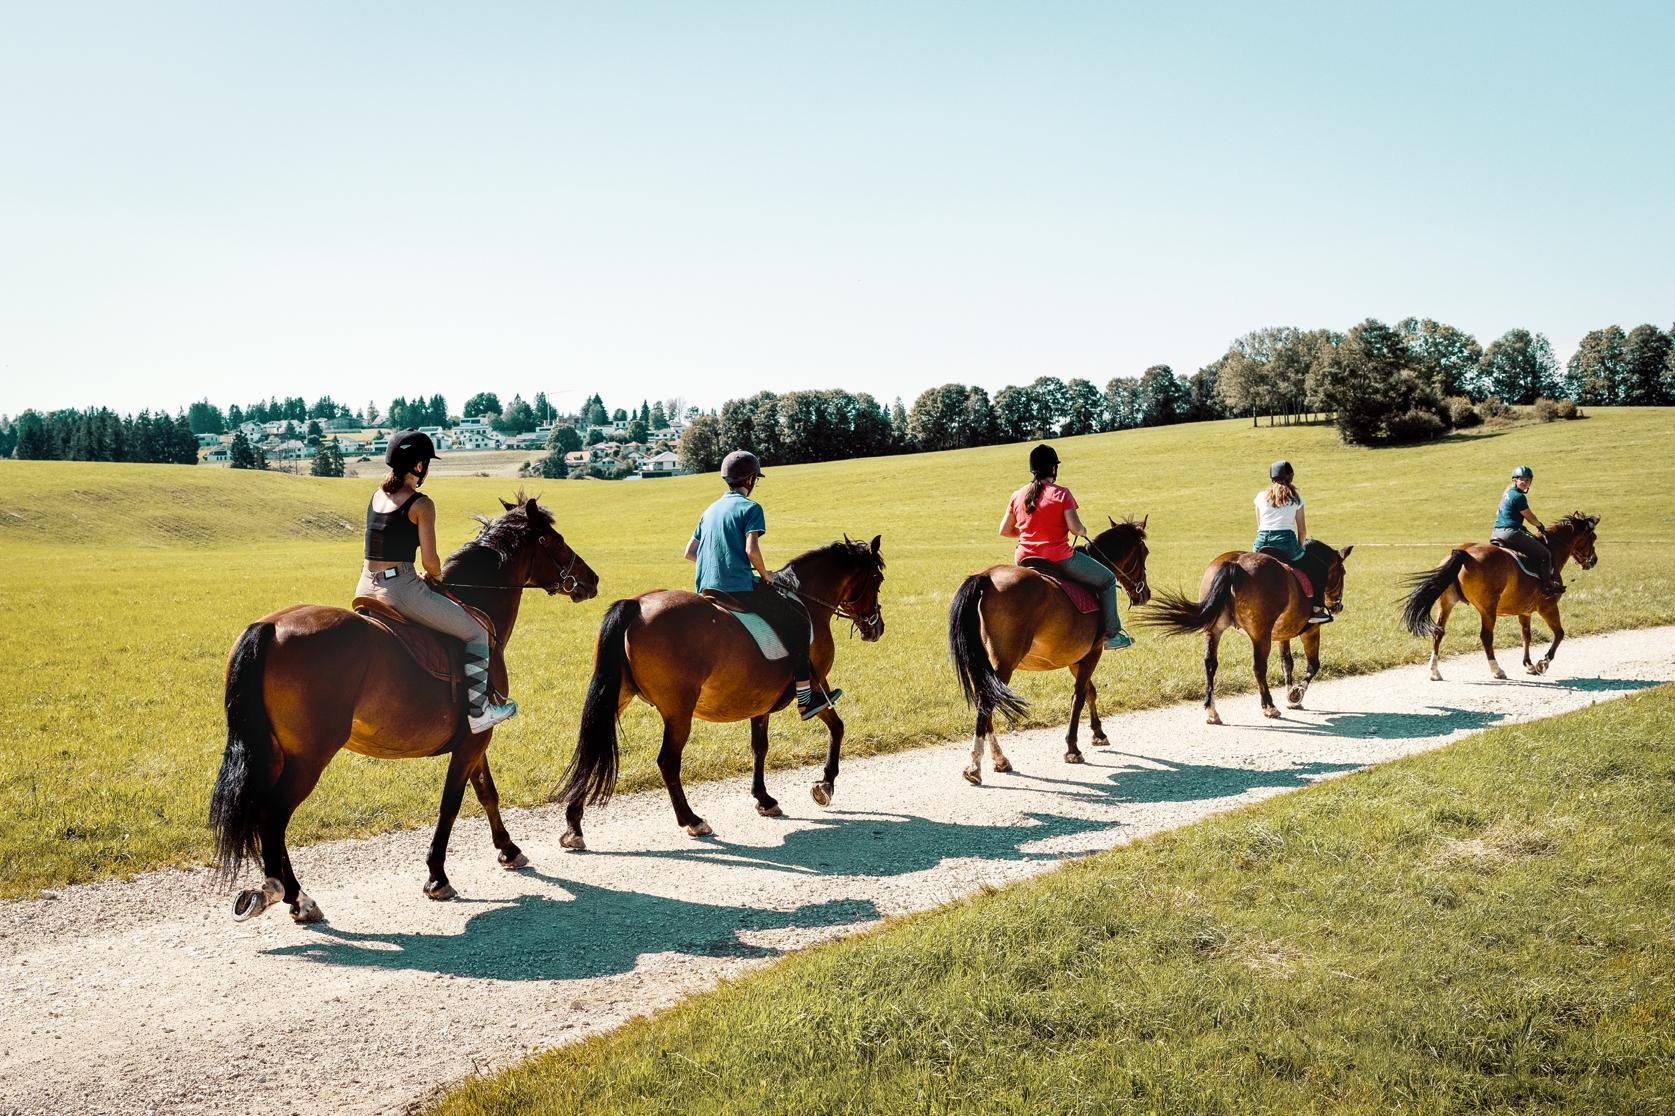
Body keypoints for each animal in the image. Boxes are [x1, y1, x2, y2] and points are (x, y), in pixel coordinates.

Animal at [209, 496, 599, 918]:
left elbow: (486, 792)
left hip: (275, 754)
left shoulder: (476, 735)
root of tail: (268, 626)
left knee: (266, 816)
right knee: (273, 818)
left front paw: (509, 850)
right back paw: (296, 897)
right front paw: (437, 877)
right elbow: (451, 803)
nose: (591, 579)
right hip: (308, 758)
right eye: (553, 540)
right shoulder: (473, 741)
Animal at [552, 532, 891, 844]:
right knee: (667, 762)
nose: (877, 627)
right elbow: (837, 727)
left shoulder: (759, 701)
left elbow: (759, 747)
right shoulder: (817, 682)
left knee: (592, 749)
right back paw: (692, 820)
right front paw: (825, 785)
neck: (806, 601)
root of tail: (636, 605)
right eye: (877, 578)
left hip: (617, 696)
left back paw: (574, 826)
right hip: (678, 710)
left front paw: (764, 799)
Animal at [951, 516, 1145, 780]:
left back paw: (999, 760)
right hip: (1004, 663)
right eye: (1144, 552)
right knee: (987, 702)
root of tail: (986, 577)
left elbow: (1090, 691)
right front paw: (1073, 748)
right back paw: (974, 766)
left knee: (986, 697)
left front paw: (1098, 733)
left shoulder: (1076, 658)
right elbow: (1079, 696)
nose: (1144, 593)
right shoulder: (1092, 652)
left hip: (985, 662)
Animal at [1145, 536, 1353, 720]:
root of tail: (1234, 563)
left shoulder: (1283, 633)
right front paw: (1296, 694)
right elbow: (1313, 664)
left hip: (1213, 629)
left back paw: (1212, 711)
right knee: (1259, 667)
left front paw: (1291, 695)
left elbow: (1287, 663)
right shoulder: (1311, 630)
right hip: (1261, 635)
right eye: (1342, 572)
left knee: (1210, 663)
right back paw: (1269, 707)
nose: (1338, 606)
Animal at [1400, 509, 1594, 676]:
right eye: (1593, 537)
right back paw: (1497, 670)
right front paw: (1543, 663)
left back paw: (1434, 671)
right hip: (1488, 608)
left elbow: (1526, 636)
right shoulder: (1548, 607)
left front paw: (1529, 665)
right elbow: (1559, 634)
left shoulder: (1524, 611)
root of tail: (1464, 552)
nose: (1593, 561)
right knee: (1486, 636)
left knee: (1438, 632)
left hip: (1446, 602)